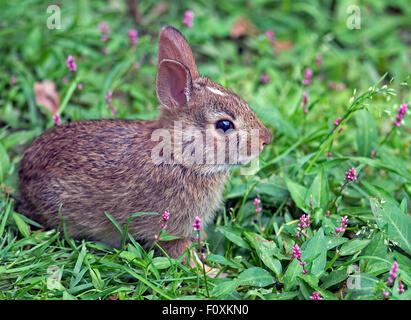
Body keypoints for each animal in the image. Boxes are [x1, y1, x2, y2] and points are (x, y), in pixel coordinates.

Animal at [16, 25, 274, 262]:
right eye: (224, 125)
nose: (266, 139)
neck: (179, 157)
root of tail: (22, 174)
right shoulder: (170, 227)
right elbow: (179, 251)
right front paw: (210, 272)